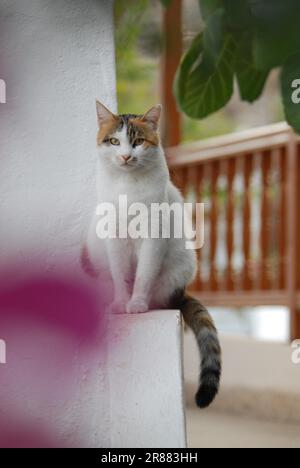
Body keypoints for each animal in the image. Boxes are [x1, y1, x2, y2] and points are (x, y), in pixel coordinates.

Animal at [81, 100, 220, 408]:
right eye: (114, 141)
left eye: (138, 142)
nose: (125, 156)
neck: (127, 187)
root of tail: (180, 293)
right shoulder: (114, 237)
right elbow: (120, 274)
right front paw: (121, 303)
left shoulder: (153, 235)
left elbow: (144, 273)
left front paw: (136, 304)